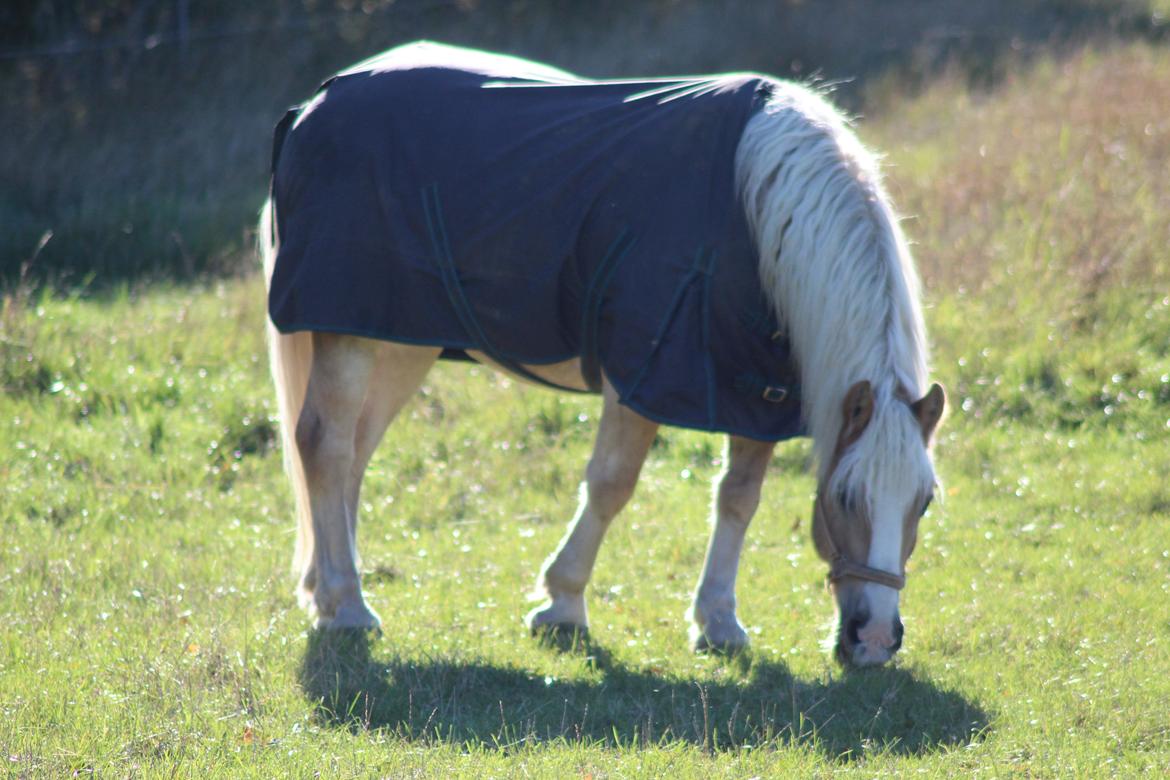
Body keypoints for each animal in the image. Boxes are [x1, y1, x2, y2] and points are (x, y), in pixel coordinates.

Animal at [260, 39, 945, 668]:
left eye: (925, 500)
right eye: (846, 497)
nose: (875, 638)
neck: (757, 213)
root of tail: (314, 103)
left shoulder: (755, 395)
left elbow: (739, 498)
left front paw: (718, 621)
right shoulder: (643, 375)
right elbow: (612, 485)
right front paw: (562, 604)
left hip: (400, 340)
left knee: (353, 454)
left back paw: (324, 590)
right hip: (350, 334)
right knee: (326, 445)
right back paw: (348, 605)